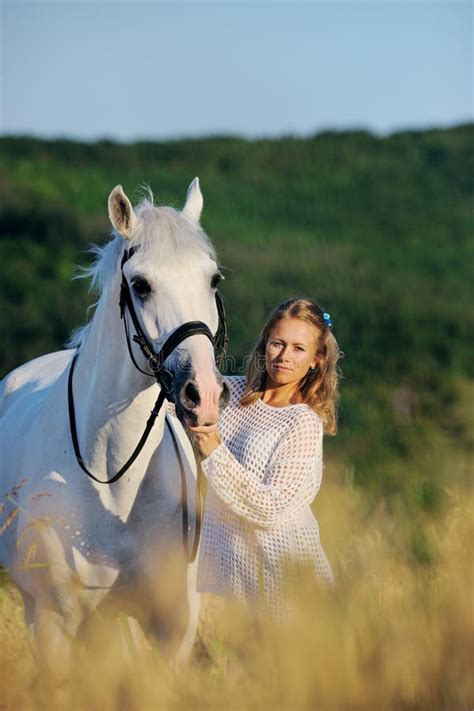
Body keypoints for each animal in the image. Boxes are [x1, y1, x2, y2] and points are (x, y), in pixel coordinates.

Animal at [0, 178, 230, 672]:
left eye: (213, 279)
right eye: (140, 285)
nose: (202, 394)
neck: (112, 481)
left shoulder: (173, 629)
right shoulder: (54, 627)